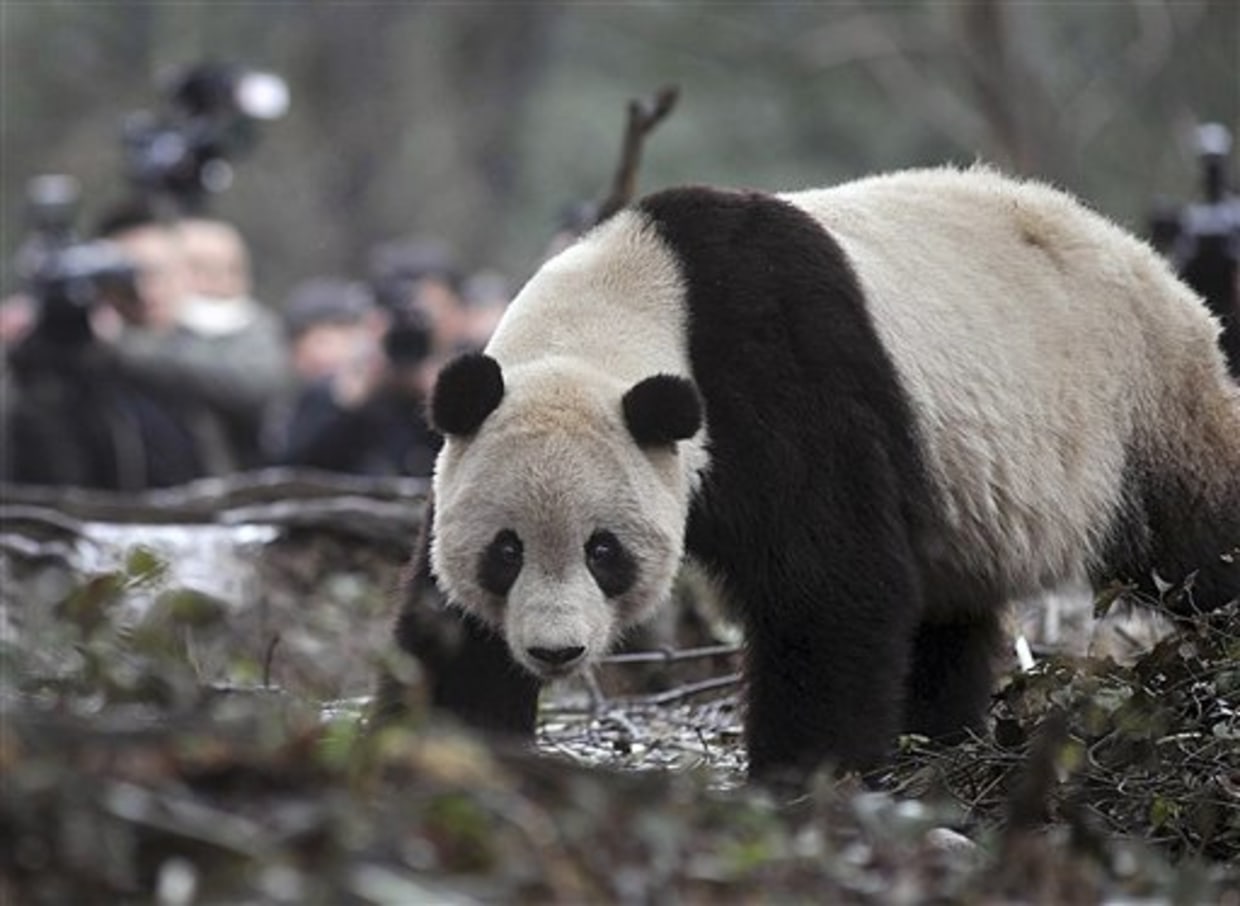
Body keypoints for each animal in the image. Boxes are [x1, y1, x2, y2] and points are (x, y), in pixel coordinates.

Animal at [416, 168, 1240, 788]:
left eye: (603, 551)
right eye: (506, 551)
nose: (555, 652)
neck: (636, 300)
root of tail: (1157, 268)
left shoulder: (784, 376)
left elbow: (829, 584)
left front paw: (809, 777)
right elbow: (446, 613)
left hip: (1143, 405)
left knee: (1199, 539)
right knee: (947, 619)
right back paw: (936, 738)